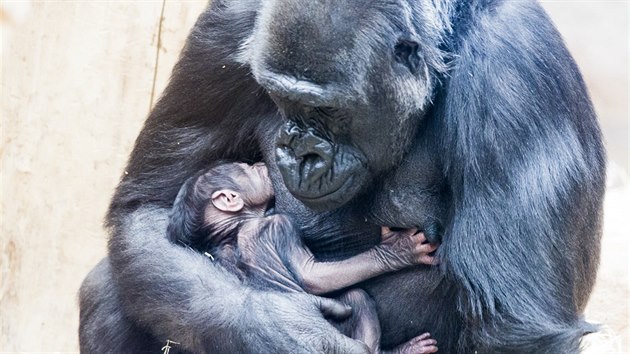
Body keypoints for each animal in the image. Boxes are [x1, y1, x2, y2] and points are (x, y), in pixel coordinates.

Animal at [170, 162, 442, 352]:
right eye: (246, 169)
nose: (256, 164)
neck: (235, 227)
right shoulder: (279, 224)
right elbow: (312, 276)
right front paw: (396, 251)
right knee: (356, 297)